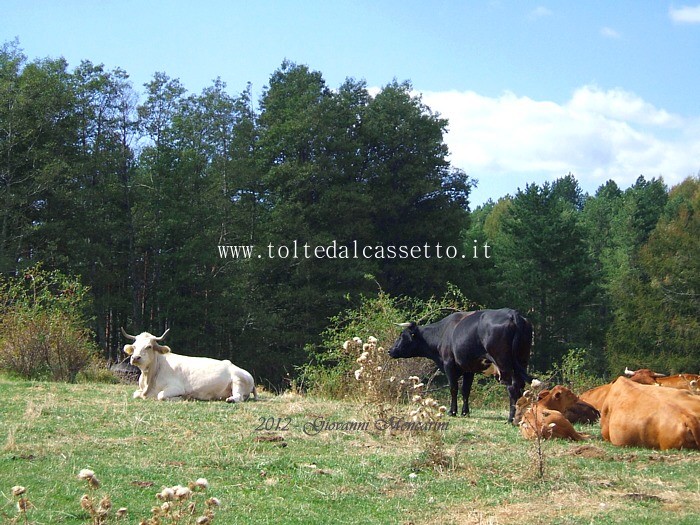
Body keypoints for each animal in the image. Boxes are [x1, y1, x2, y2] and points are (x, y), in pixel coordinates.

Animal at [121, 328, 258, 402]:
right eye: (134, 346)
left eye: (149, 346)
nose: (135, 358)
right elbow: (135, 394)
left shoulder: (176, 388)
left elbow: (160, 395)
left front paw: (183, 398)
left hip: (238, 381)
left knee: (239, 397)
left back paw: (230, 400)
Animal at [388, 308, 532, 422]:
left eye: (402, 336)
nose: (390, 350)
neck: (443, 332)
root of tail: (512, 314)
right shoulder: (469, 368)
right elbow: (465, 390)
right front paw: (465, 412)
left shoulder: (449, 364)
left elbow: (453, 388)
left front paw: (452, 411)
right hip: (521, 362)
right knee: (520, 387)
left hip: (504, 364)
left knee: (513, 388)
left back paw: (511, 418)